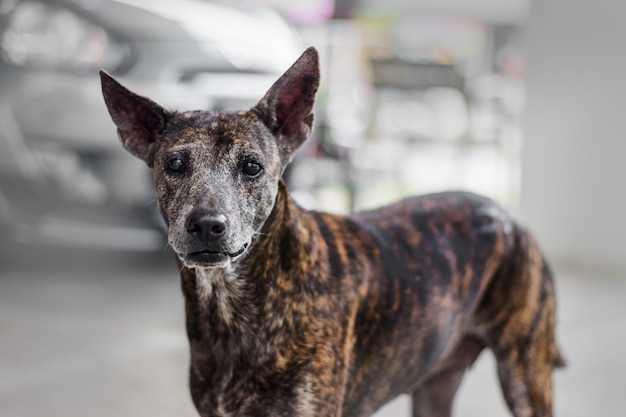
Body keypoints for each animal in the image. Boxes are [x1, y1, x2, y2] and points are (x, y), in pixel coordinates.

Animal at [101, 47, 560, 414]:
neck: (235, 306)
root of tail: (506, 213)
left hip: (526, 375)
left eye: (252, 167)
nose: (207, 226)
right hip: (435, 385)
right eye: (175, 164)